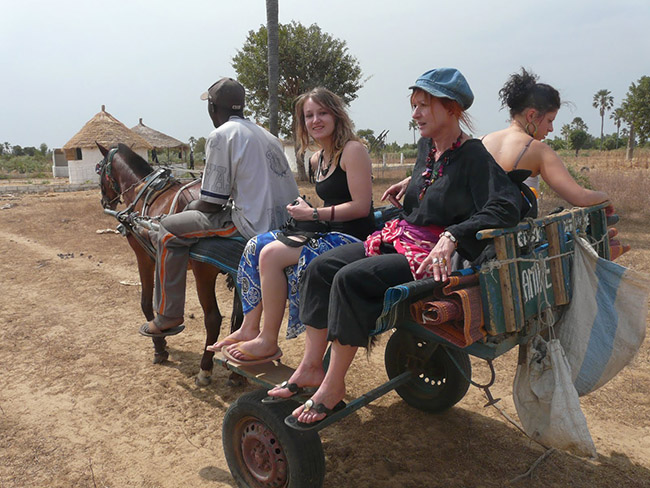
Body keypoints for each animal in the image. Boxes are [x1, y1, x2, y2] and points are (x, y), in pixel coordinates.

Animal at [97, 143, 244, 386]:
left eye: (99, 169)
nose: (104, 201)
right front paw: (163, 334)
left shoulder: (144, 258)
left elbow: (146, 303)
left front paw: (159, 346)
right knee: (242, 319)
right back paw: (236, 372)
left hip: (203, 271)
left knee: (213, 318)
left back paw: (205, 370)